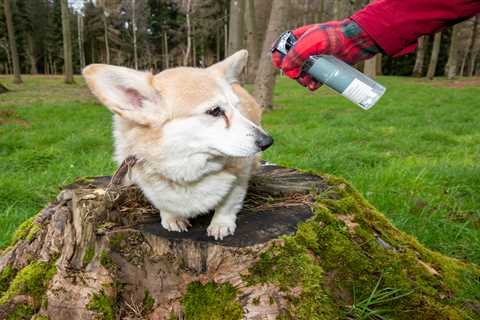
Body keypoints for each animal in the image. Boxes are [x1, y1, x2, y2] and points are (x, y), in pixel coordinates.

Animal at [82, 50, 274, 239]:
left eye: (237, 108)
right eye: (215, 111)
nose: (268, 141)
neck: (187, 169)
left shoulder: (241, 173)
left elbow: (228, 202)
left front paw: (221, 224)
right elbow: (163, 203)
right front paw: (172, 218)